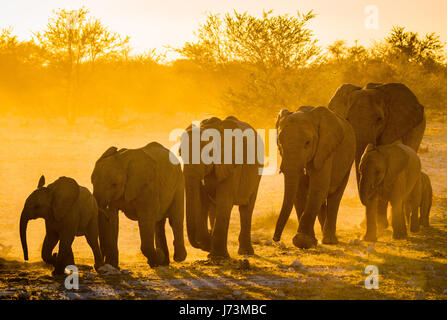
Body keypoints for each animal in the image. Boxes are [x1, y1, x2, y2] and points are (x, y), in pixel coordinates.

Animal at [180, 116, 264, 258]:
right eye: (180, 154)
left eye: (208, 154)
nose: (204, 244)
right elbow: (203, 202)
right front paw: (211, 250)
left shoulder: (233, 164)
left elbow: (224, 201)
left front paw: (218, 256)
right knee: (214, 207)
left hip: (257, 174)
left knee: (246, 209)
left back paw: (245, 252)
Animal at [272, 106, 356, 249]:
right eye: (280, 142)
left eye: (308, 143)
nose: (276, 239)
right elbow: (300, 191)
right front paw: (310, 241)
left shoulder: (325, 150)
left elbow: (318, 187)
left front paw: (303, 241)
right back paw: (323, 238)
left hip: (348, 163)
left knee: (335, 197)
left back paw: (329, 240)